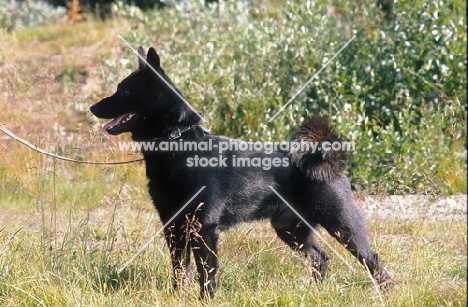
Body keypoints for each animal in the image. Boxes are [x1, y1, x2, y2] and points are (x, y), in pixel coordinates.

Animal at [89, 47, 394, 298]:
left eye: (124, 91)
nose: (92, 107)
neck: (178, 143)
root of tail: (323, 154)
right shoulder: (174, 226)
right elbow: (179, 271)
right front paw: (177, 297)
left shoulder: (204, 228)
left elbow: (206, 274)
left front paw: (206, 300)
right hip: (290, 229)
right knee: (320, 258)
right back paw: (314, 293)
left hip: (342, 224)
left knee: (371, 259)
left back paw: (386, 292)